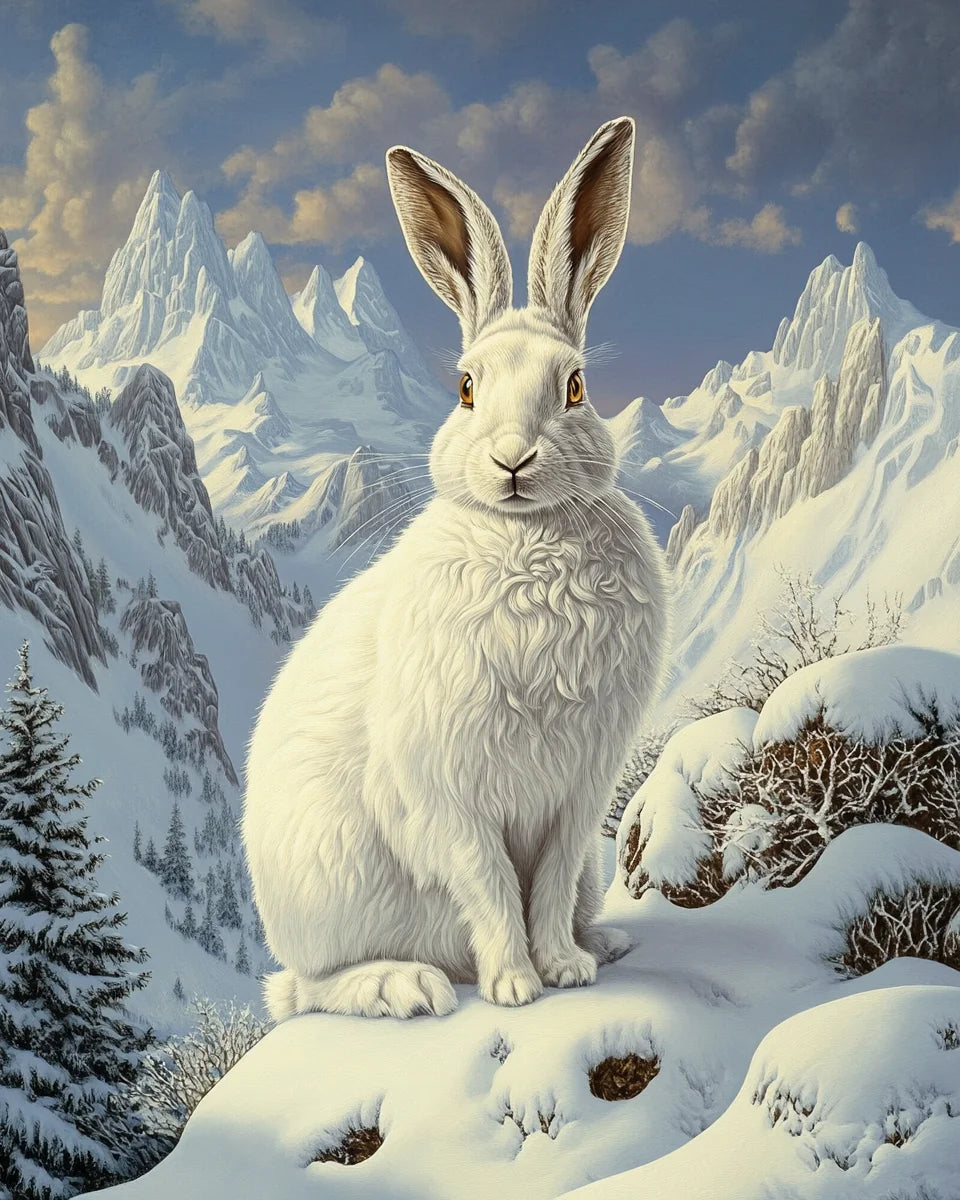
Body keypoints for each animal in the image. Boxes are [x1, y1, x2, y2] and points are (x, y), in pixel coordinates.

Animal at [243, 115, 671, 1021]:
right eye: (466, 389)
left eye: (575, 387)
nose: (513, 460)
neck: (527, 540)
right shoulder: (445, 796)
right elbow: (490, 883)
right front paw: (513, 986)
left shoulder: (577, 798)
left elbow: (545, 884)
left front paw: (564, 969)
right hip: (332, 893)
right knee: (308, 987)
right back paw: (407, 986)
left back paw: (602, 943)